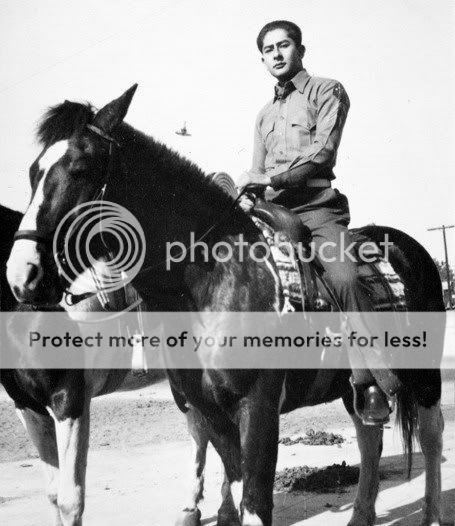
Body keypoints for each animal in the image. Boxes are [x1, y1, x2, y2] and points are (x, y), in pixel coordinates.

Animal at [4, 87, 446, 526]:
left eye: (80, 169)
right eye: (32, 173)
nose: (22, 274)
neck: (216, 280)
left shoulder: (257, 407)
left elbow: (254, 500)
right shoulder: (209, 410)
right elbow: (231, 479)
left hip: (425, 377)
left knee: (431, 435)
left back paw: (430, 514)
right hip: (354, 387)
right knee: (369, 435)